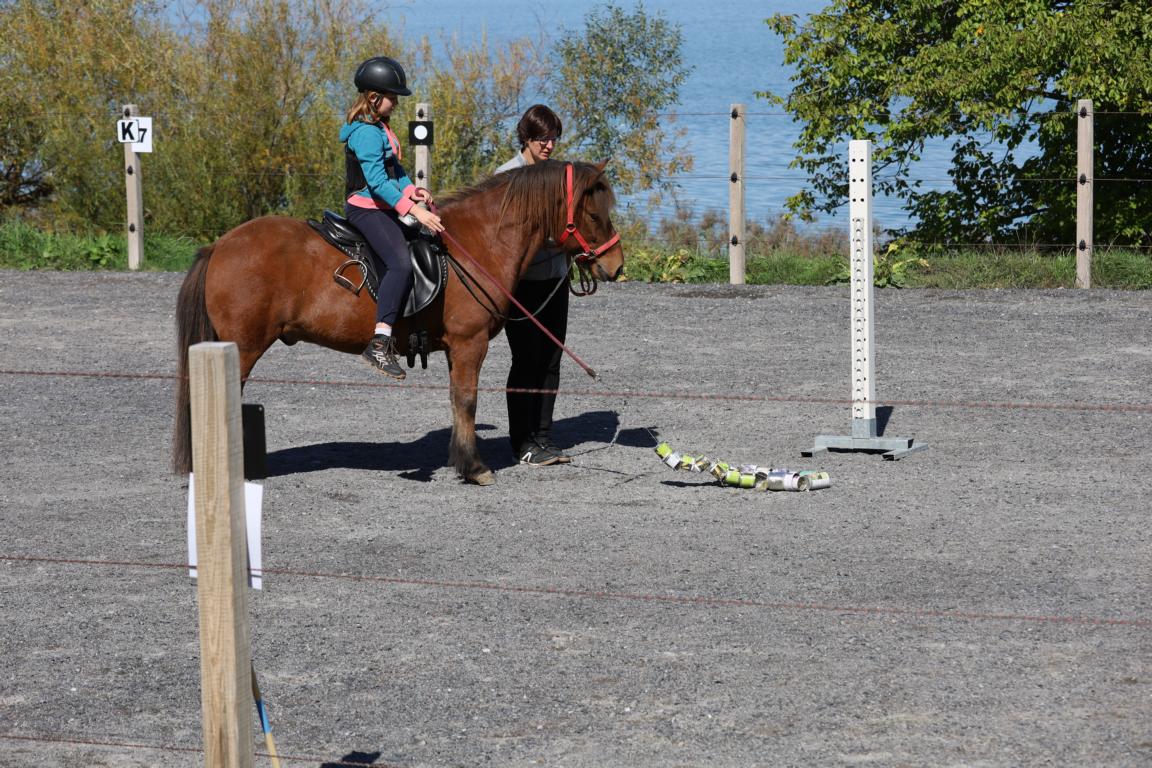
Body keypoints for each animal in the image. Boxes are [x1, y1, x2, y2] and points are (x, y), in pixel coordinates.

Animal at [173, 160, 624, 486]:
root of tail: (220, 245)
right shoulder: (470, 343)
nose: (616, 266)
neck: (478, 242)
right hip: (241, 349)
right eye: (594, 215)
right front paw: (474, 468)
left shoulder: (456, 349)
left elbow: (456, 403)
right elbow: (467, 401)